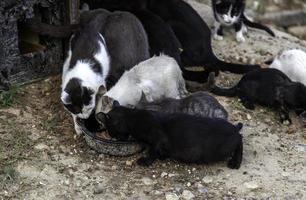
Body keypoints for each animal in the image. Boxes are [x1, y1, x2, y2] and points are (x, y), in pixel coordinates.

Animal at [98, 105, 244, 170]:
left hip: (223, 147)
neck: (132, 117)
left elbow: (152, 151)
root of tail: (234, 127)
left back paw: (235, 162)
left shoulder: (158, 138)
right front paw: (163, 156)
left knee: (240, 139)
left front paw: (146, 161)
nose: (115, 138)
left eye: (110, 132)